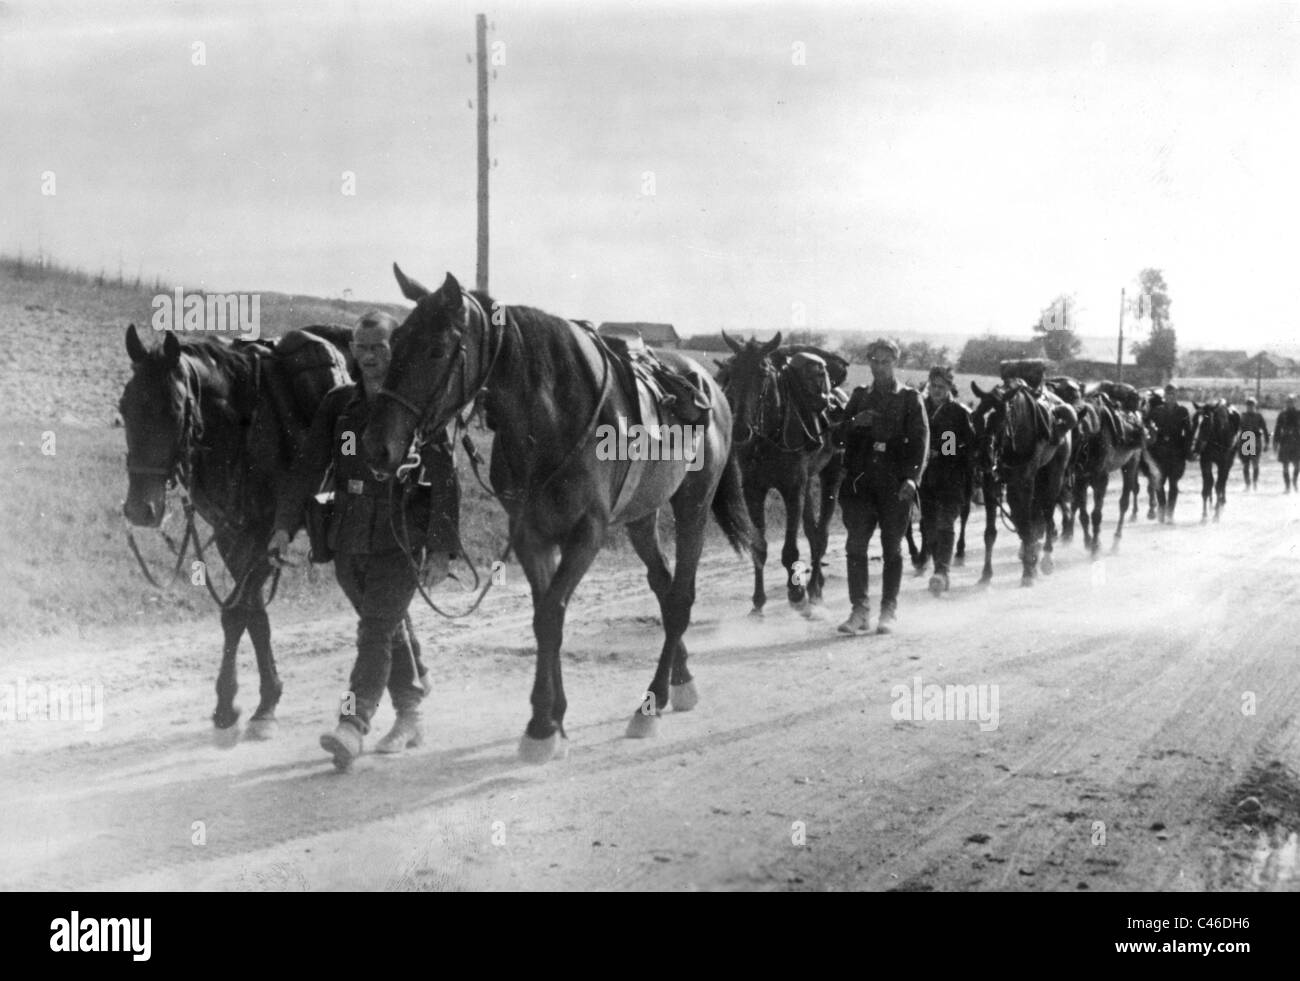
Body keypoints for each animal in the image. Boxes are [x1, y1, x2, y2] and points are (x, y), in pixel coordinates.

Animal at [120, 322, 351, 738]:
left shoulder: (266, 533)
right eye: (123, 407)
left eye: (174, 410)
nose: (140, 509)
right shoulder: (231, 533)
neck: (240, 426)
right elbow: (253, 614)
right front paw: (261, 698)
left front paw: (233, 702)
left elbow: (236, 612)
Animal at [364, 268, 754, 769]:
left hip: (693, 505)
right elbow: (543, 617)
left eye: (435, 349)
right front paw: (553, 716)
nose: (378, 446)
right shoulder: (530, 535)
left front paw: (542, 728)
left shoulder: (586, 533)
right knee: (665, 591)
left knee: (682, 596)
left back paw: (651, 702)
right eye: (395, 342)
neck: (552, 418)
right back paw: (675, 685)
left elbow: (552, 614)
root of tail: (710, 386)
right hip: (642, 518)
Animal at [717, 332, 847, 618]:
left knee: (821, 535)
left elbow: (790, 549)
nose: (740, 429)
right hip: (808, 483)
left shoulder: (792, 488)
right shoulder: (754, 489)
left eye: (763, 373)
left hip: (830, 475)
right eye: (733, 372)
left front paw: (797, 594)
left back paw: (814, 590)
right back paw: (816, 584)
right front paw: (758, 603)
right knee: (813, 533)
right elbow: (759, 546)